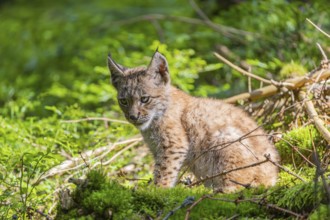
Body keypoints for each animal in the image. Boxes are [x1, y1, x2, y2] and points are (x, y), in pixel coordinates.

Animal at [107, 50, 278, 192]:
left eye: (144, 99)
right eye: (123, 101)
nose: (133, 117)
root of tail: (274, 173)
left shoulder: (173, 145)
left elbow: (164, 171)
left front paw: (157, 191)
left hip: (224, 137)